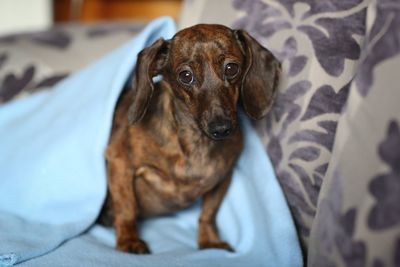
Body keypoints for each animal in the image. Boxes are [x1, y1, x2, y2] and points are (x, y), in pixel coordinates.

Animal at [101, 24, 280, 254]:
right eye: (186, 76)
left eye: (231, 68)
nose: (221, 128)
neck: (196, 143)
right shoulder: (119, 161)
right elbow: (126, 207)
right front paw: (128, 239)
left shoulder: (223, 178)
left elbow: (208, 213)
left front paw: (209, 240)